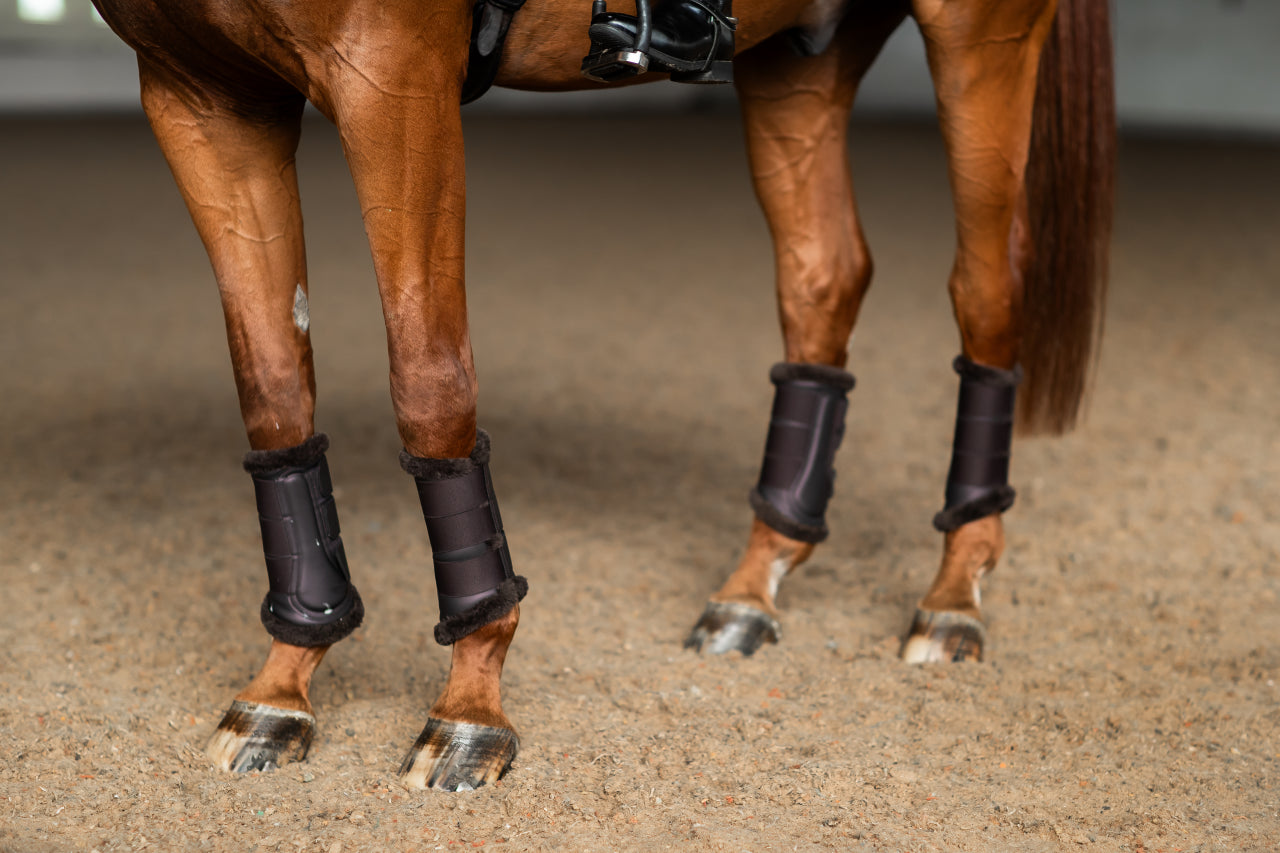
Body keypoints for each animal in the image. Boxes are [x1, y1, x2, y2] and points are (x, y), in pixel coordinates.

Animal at [87, 0, 1111, 788]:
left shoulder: (393, 82)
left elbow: (429, 379)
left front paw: (471, 703)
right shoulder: (205, 99)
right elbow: (273, 390)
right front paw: (285, 682)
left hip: (979, 35)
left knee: (987, 289)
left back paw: (954, 594)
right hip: (799, 57)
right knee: (822, 274)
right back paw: (754, 586)